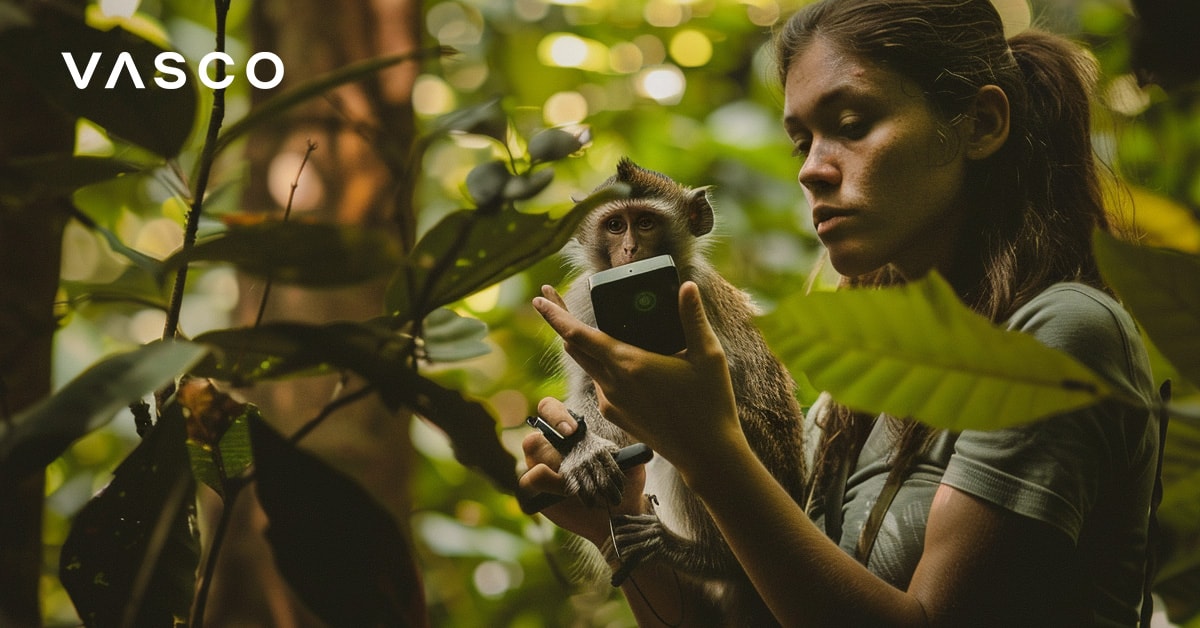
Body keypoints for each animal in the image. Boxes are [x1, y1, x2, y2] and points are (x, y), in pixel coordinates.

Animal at [549, 157, 811, 624]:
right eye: (614, 224)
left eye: (646, 222)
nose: (630, 252)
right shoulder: (582, 304)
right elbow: (586, 392)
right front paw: (583, 449)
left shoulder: (695, 296)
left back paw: (706, 558)